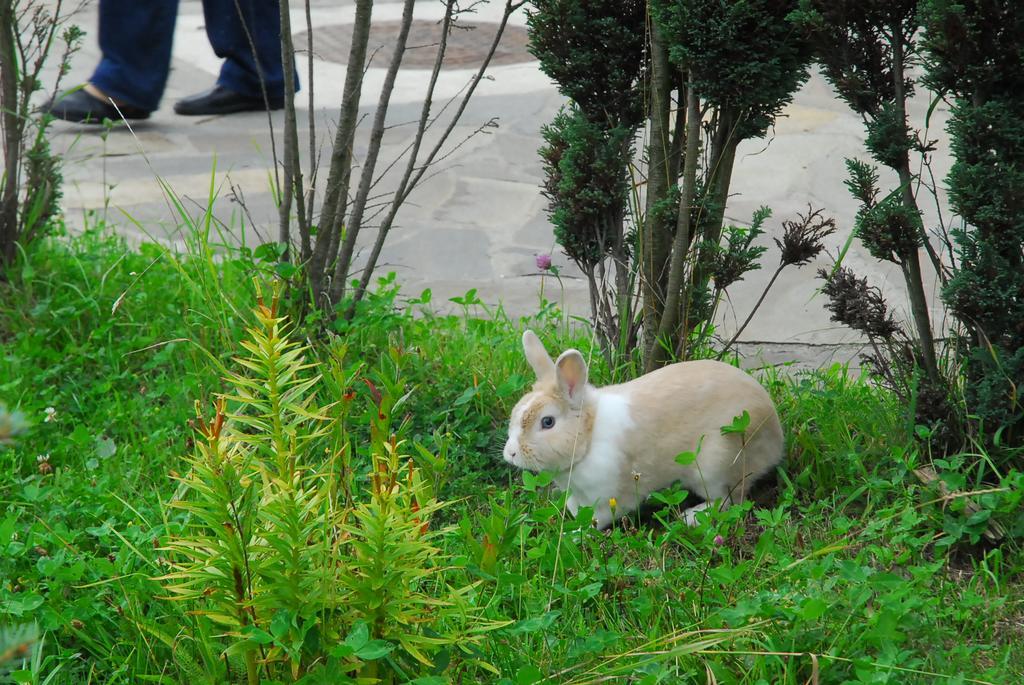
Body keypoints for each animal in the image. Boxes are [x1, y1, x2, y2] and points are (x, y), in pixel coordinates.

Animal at [503, 331, 782, 528]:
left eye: (547, 422)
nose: (511, 454)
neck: (589, 437)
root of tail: (776, 436)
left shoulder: (612, 496)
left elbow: (598, 519)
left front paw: (577, 532)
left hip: (716, 465)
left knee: (730, 499)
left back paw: (690, 516)